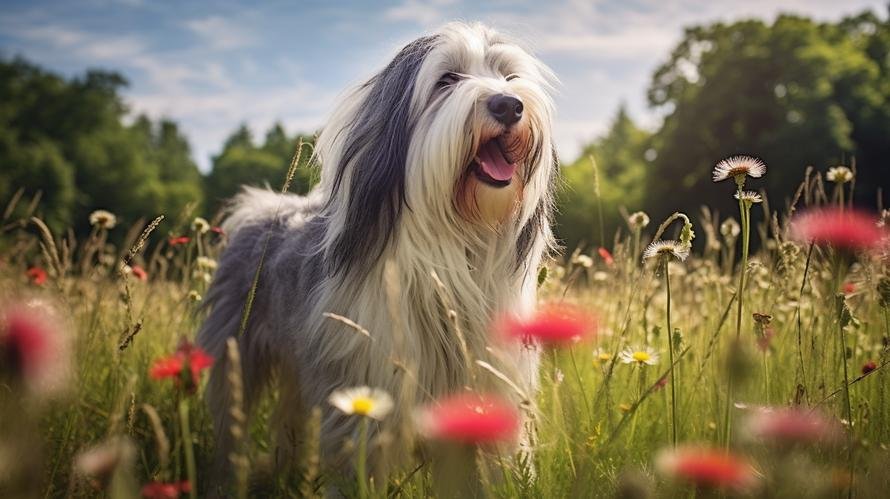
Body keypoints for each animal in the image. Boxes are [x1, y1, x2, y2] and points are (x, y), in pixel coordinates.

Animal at [199, 21, 560, 482]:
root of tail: (260, 206)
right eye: (446, 80)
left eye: (509, 77)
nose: (509, 105)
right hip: (236, 356)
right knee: (233, 421)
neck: (451, 252)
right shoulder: (363, 395)